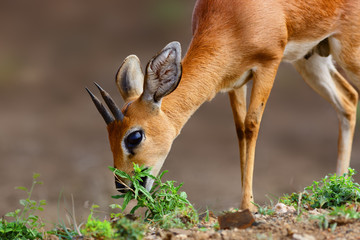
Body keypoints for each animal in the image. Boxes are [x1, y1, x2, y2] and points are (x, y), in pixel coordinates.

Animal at [86, 0, 360, 210]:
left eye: (134, 137)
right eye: (109, 137)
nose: (122, 184)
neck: (234, 19)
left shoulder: (268, 64)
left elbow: (252, 125)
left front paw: (248, 206)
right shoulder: (234, 81)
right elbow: (240, 131)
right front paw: (245, 203)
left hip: (347, 56)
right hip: (311, 59)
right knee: (348, 100)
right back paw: (339, 185)